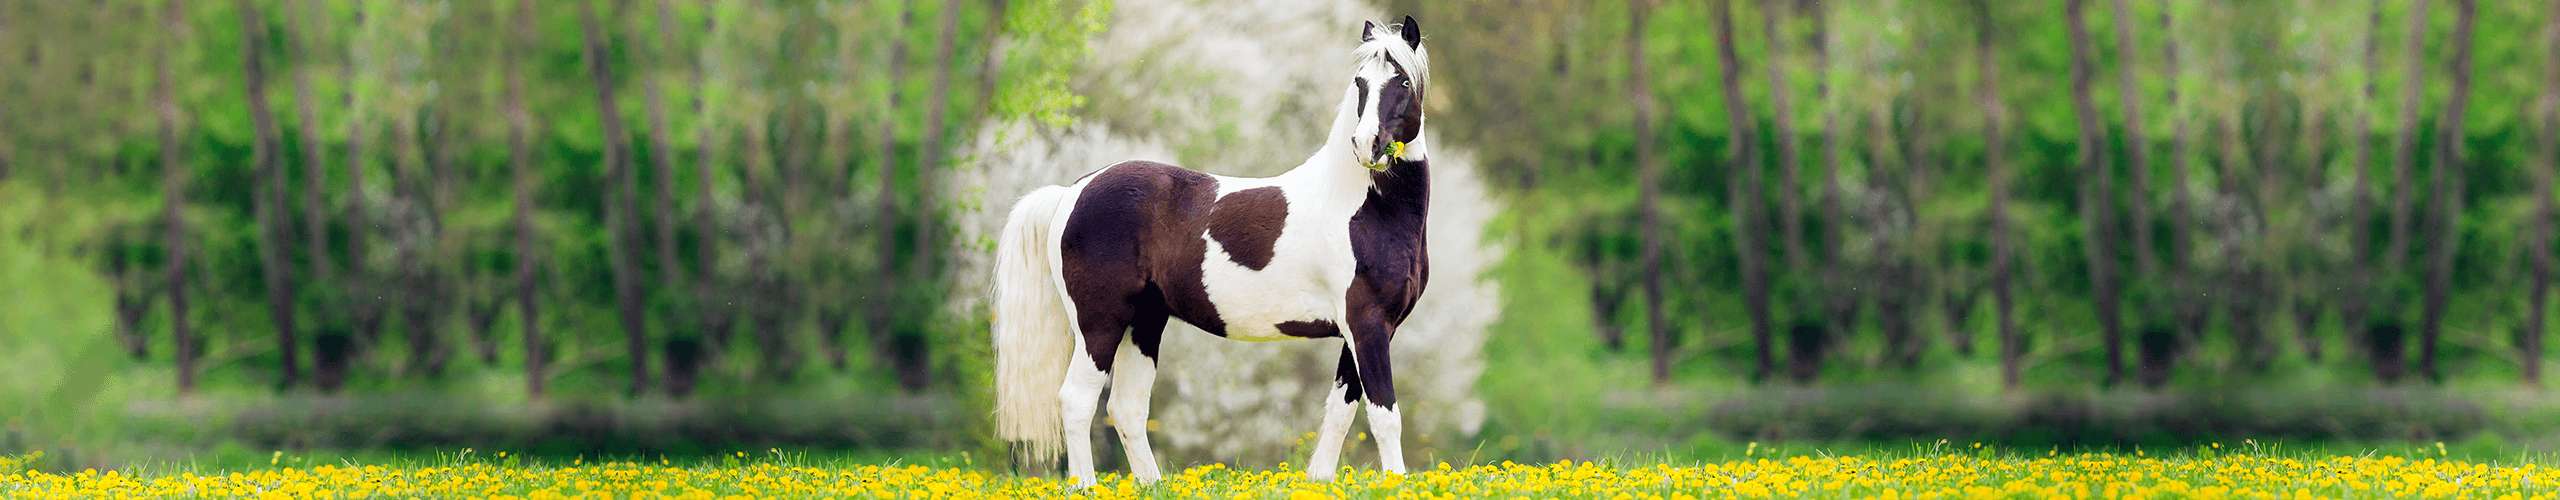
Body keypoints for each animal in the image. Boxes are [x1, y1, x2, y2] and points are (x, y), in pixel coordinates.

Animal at [993, 18, 1443, 484]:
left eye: (1403, 81)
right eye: (1360, 83)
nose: (1366, 144)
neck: (1359, 207)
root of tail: (1073, 191)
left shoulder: (1363, 330)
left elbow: (1340, 411)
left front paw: (1320, 481)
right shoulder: (1367, 324)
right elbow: (1385, 415)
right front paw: (1398, 484)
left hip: (1143, 322)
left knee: (1126, 408)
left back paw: (1153, 484)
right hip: (1099, 324)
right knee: (1077, 401)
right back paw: (1085, 485)